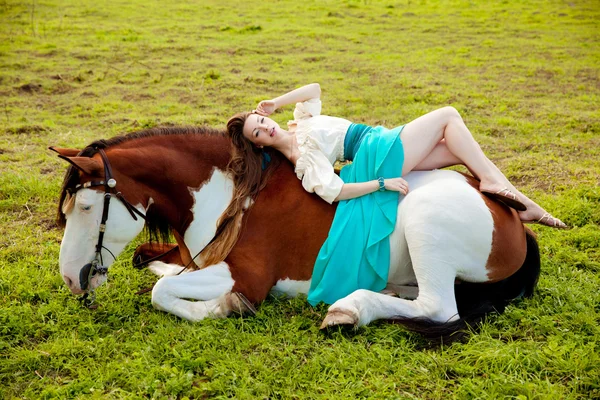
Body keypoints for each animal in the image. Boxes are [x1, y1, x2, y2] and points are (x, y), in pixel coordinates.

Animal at [50, 126, 540, 338]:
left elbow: (163, 293)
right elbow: (154, 267)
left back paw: (350, 309)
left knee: (439, 309)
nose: (72, 279)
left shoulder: (248, 275)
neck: (233, 192)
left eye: (87, 207)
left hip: (428, 223)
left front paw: (225, 307)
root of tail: (508, 211)